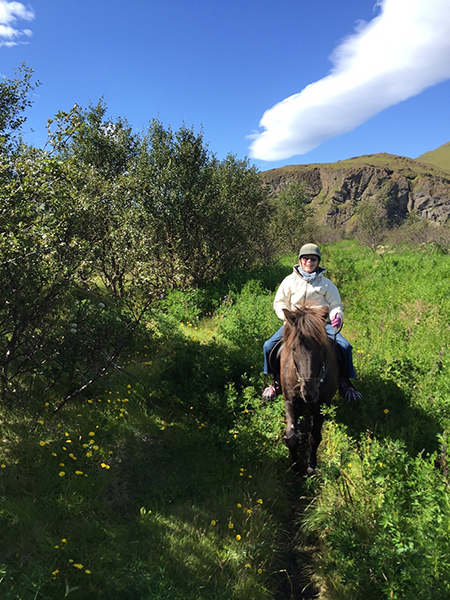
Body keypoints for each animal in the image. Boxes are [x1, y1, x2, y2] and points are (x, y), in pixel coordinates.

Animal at [280, 302, 340, 476]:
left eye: (321, 348)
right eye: (293, 349)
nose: (309, 393)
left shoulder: (322, 405)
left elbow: (315, 437)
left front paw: (311, 464)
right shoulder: (290, 402)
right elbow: (291, 438)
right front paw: (294, 465)